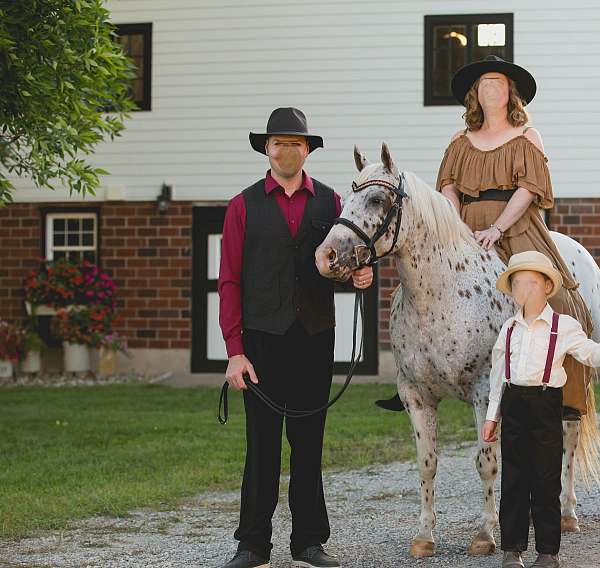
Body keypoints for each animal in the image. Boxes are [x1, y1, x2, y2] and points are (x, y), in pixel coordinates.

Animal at [314, 144, 600, 556]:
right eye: (346, 196)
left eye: (377, 199)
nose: (326, 257)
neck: (441, 295)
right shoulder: (416, 396)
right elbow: (427, 463)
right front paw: (424, 536)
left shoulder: (485, 393)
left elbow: (486, 462)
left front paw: (485, 534)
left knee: (570, 438)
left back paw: (567, 514)